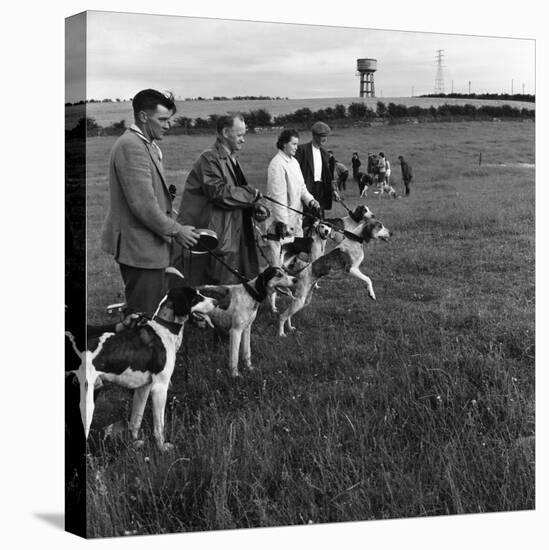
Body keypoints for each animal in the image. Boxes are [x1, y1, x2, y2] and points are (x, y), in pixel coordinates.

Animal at [65, 284, 215, 452]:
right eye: (196, 298)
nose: (216, 301)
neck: (165, 329)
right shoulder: (159, 388)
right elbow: (159, 426)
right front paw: (161, 448)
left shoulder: (144, 388)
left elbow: (136, 420)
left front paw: (133, 443)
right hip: (87, 402)